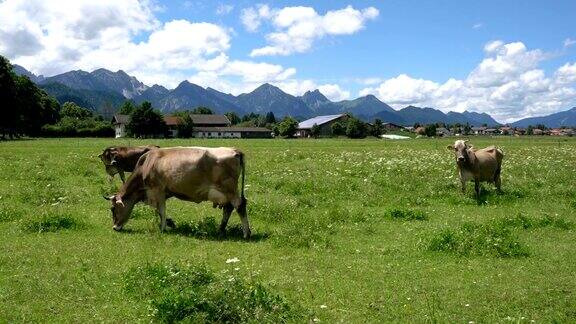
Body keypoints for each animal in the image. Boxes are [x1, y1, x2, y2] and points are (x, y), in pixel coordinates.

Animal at [102, 147, 250, 238]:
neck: (146, 164)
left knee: (239, 205)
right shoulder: (161, 193)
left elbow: (161, 211)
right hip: (226, 193)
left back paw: (246, 233)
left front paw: (163, 228)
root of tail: (235, 150)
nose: (114, 227)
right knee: (229, 208)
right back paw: (221, 229)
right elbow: (158, 210)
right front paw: (169, 223)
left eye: (113, 209)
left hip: (229, 189)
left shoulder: (157, 191)